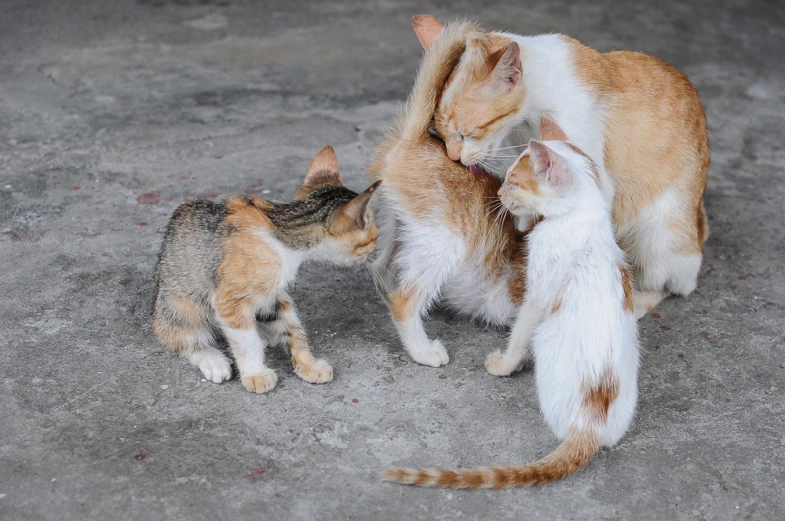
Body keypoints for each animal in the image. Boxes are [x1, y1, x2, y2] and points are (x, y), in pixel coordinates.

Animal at [152, 145, 380, 390]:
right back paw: (213, 359)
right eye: (374, 236)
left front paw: (308, 365)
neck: (284, 233)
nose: (376, 245)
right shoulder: (229, 299)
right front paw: (256, 373)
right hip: (181, 304)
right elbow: (244, 339)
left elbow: (291, 326)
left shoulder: (274, 293)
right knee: (182, 338)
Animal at [398, 15, 712, 320]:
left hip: (660, 235)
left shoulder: (589, 176)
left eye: (467, 134)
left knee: (671, 285)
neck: (528, 120)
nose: (454, 158)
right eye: (439, 134)